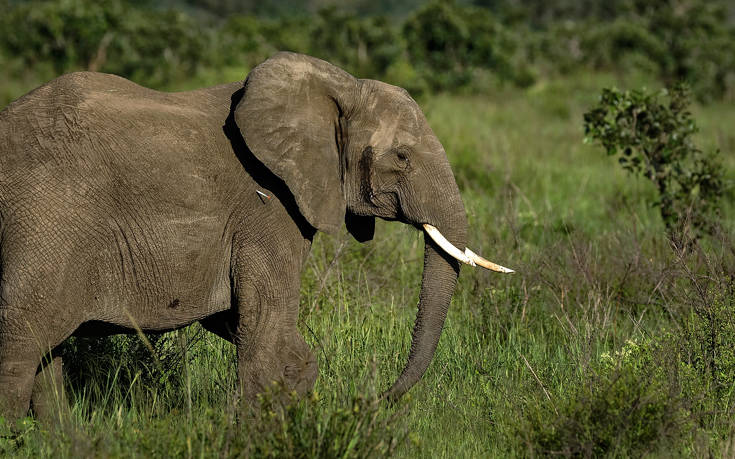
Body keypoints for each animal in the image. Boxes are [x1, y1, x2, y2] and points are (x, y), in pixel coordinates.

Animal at [0, 52, 516, 422]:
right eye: (404, 157)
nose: (376, 397)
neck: (339, 88)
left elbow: (241, 321)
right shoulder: (268, 206)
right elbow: (262, 320)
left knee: (46, 362)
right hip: (48, 217)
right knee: (21, 345)